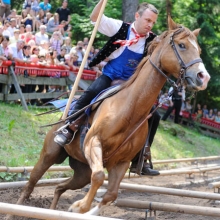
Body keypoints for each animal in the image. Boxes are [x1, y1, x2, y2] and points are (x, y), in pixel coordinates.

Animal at [10, 16, 210, 217]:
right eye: (182, 45)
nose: (203, 77)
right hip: (49, 155)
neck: (130, 108)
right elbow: (99, 177)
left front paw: (80, 208)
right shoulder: (92, 142)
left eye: (199, 50)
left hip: (82, 172)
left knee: (60, 187)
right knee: (30, 184)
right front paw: (80, 206)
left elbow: (111, 194)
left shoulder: (121, 162)